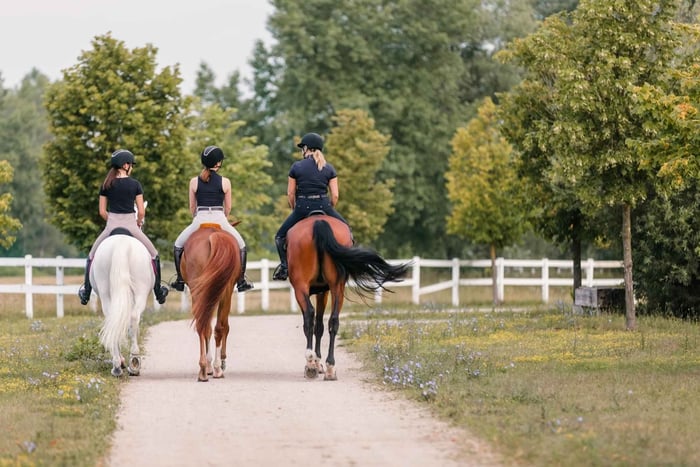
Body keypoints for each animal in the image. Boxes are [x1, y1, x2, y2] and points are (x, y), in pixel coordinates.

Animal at [91, 232, 154, 377]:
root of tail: (121, 242)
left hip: (106, 293)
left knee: (115, 320)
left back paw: (118, 365)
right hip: (140, 292)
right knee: (133, 318)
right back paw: (133, 362)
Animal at [180, 225, 241, 382]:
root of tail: (213, 235)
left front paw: (209, 365)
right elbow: (225, 327)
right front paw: (217, 363)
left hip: (201, 291)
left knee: (204, 326)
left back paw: (204, 369)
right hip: (222, 291)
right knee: (216, 327)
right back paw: (216, 368)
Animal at [286, 214, 410, 380]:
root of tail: (318, 221)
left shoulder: (316, 291)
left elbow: (315, 324)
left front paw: (316, 363)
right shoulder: (323, 292)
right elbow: (320, 326)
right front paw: (320, 364)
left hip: (301, 287)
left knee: (309, 317)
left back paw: (311, 364)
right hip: (337, 286)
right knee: (333, 320)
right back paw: (330, 367)